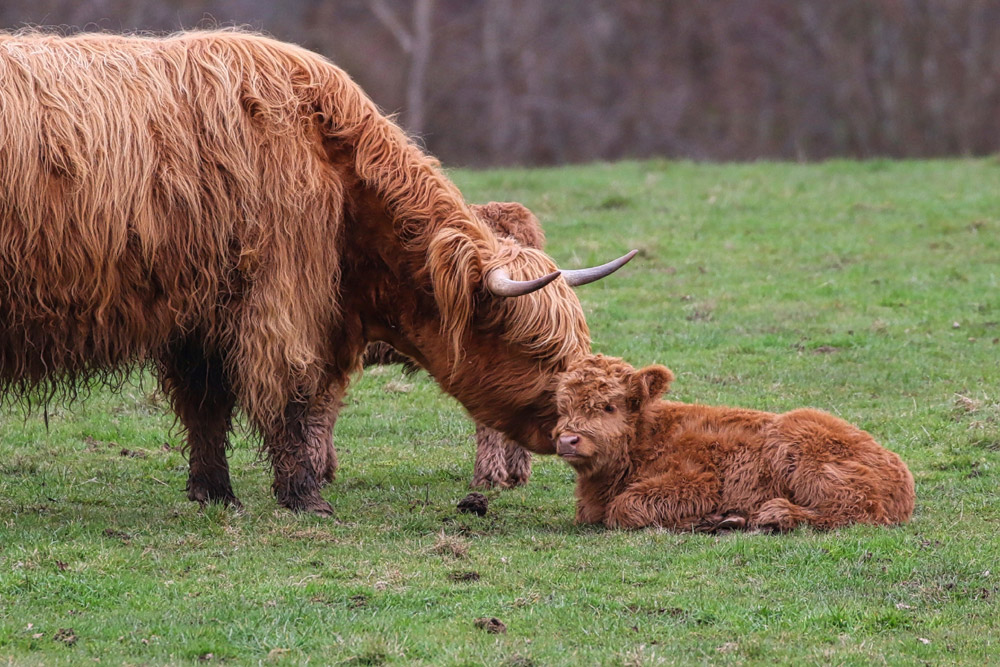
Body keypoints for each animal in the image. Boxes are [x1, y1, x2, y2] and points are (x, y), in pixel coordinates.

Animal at [0, 28, 632, 516]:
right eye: (538, 350)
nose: (572, 434)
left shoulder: (200, 313)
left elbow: (206, 405)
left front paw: (214, 493)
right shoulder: (279, 301)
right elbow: (292, 396)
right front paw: (305, 495)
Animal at [556, 354, 916, 532]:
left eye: (608, 406)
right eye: (563, 406)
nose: (568, 440)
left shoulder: (697, 481)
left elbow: (625, 507)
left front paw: (704, 520)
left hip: (809, 459)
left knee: (855, 508)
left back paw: (771, 515)